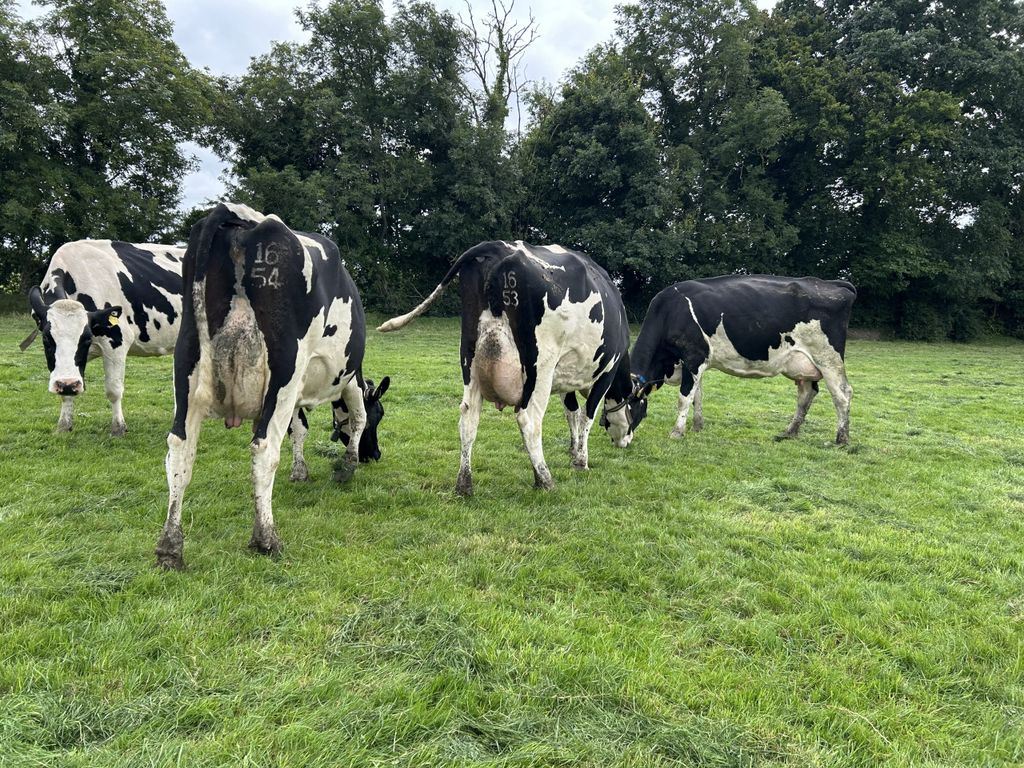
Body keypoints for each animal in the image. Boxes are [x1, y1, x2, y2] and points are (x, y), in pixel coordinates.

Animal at [24, 240, 185, 436]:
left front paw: (118, 428)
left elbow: (113, 390)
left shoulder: (117, 341)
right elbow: (68, 391)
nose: (67, 384)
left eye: (86, 339)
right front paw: (63, 425)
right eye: (46, 339)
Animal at [155, 203, 389, 570]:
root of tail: (235, 213)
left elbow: (299, 428)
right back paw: (265, 538)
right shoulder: (347, 378)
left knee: (180, 450)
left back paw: (170, 548)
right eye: (381, 417)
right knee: (264, 448)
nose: (374, 455)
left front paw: (300, 471)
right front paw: (347, 466)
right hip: (285, 369)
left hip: (186, 366)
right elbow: (356, 417)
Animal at [378, 240, 635, 495]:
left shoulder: (566, 378)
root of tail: (496, 246)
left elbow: (571, 412)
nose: (626, 442)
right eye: (638, 406)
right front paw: (581, 461)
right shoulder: (606, 372)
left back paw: (464, 485)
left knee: (468, 418)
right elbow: (586, 416)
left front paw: (572, 450)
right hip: (540, 368)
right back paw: (544, 480)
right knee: (529, 420)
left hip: (470, 360)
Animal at [617, 274, 856, 445]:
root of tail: (831, 283)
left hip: (828, 357)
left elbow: (684, 398)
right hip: (803, 364)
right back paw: (789, 432)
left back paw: (841, 439)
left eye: (624, 409)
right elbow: (697, 396)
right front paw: (697, 426)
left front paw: (677, 432)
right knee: (807, 394)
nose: (617, 439)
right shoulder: (694, 363)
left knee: (842, 394)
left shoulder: (694, 357)